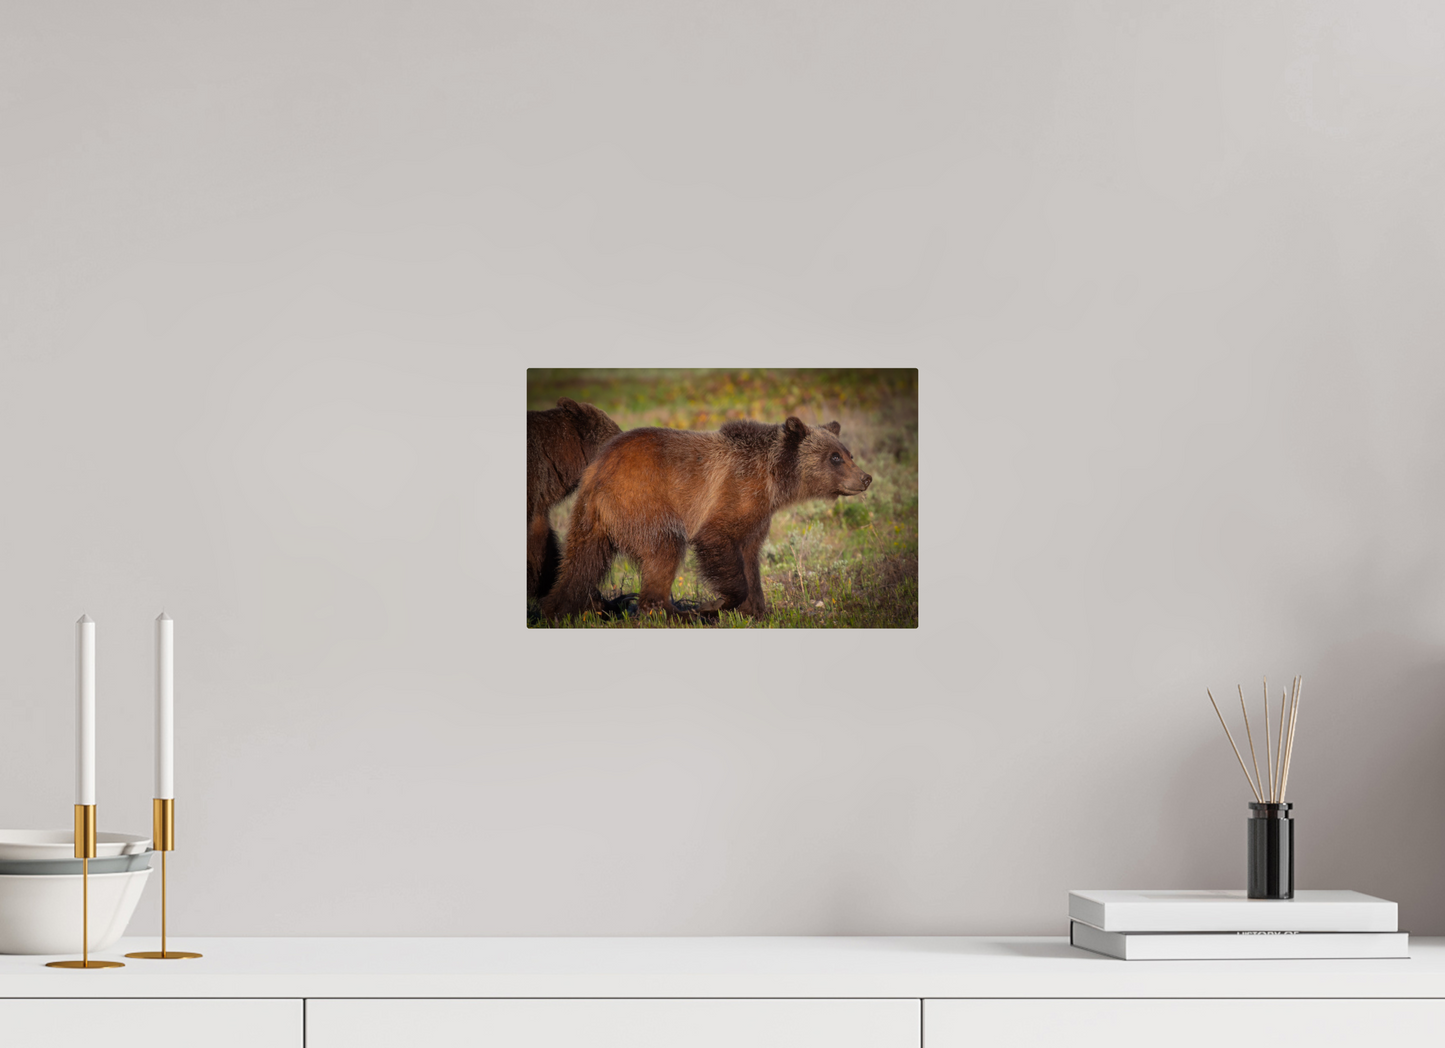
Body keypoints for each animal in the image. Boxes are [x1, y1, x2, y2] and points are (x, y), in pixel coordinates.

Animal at [540, 416, 872, 620]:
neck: (772, 478)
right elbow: (717, 540)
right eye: (834, 457)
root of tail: (596, 469)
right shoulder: (733, 491)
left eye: (848, 453)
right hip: (642, 501)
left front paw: (759, 610)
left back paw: (556, 608)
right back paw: (675, 613)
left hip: (591, 519)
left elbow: (750, 557)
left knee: (582, 563)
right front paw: (719, 604)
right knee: (664, 548)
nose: (865, 478)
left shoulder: (757, 516)